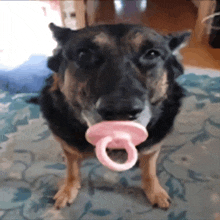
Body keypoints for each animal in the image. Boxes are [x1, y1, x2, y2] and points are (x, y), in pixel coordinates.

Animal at [29, 23, 191, 211]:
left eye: (152, 54)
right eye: (83, 54)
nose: (120, 110)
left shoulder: (153, 147)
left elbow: (150, 170)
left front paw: (155, 191)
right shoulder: (69, 147)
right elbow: (72, 170)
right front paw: (68, 189)